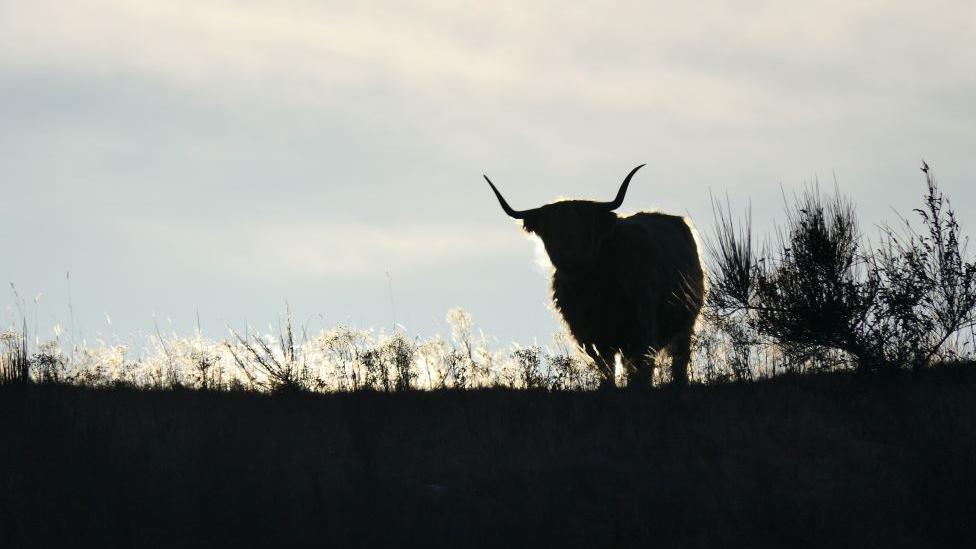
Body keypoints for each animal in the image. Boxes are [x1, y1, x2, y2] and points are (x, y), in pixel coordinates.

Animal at [486, 165, 700, 388]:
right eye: (550, 230)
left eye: (586, 228)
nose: (570, 257)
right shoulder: (591, 337)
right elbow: (606, 370)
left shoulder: (641, 332)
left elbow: (639, 373)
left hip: (687, 324)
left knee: (679, 360)